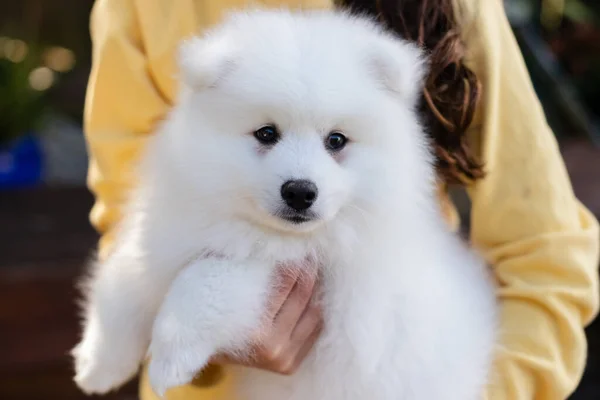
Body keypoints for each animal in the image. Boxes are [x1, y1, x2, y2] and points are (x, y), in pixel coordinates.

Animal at [74, 9, 496, 400]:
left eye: (336, 140)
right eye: (266, 133)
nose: (299, 191)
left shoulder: (287, 268)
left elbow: (207, 280)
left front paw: (169, 359)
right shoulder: (164, 231)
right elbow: (122, 282)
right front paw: (97, 363)